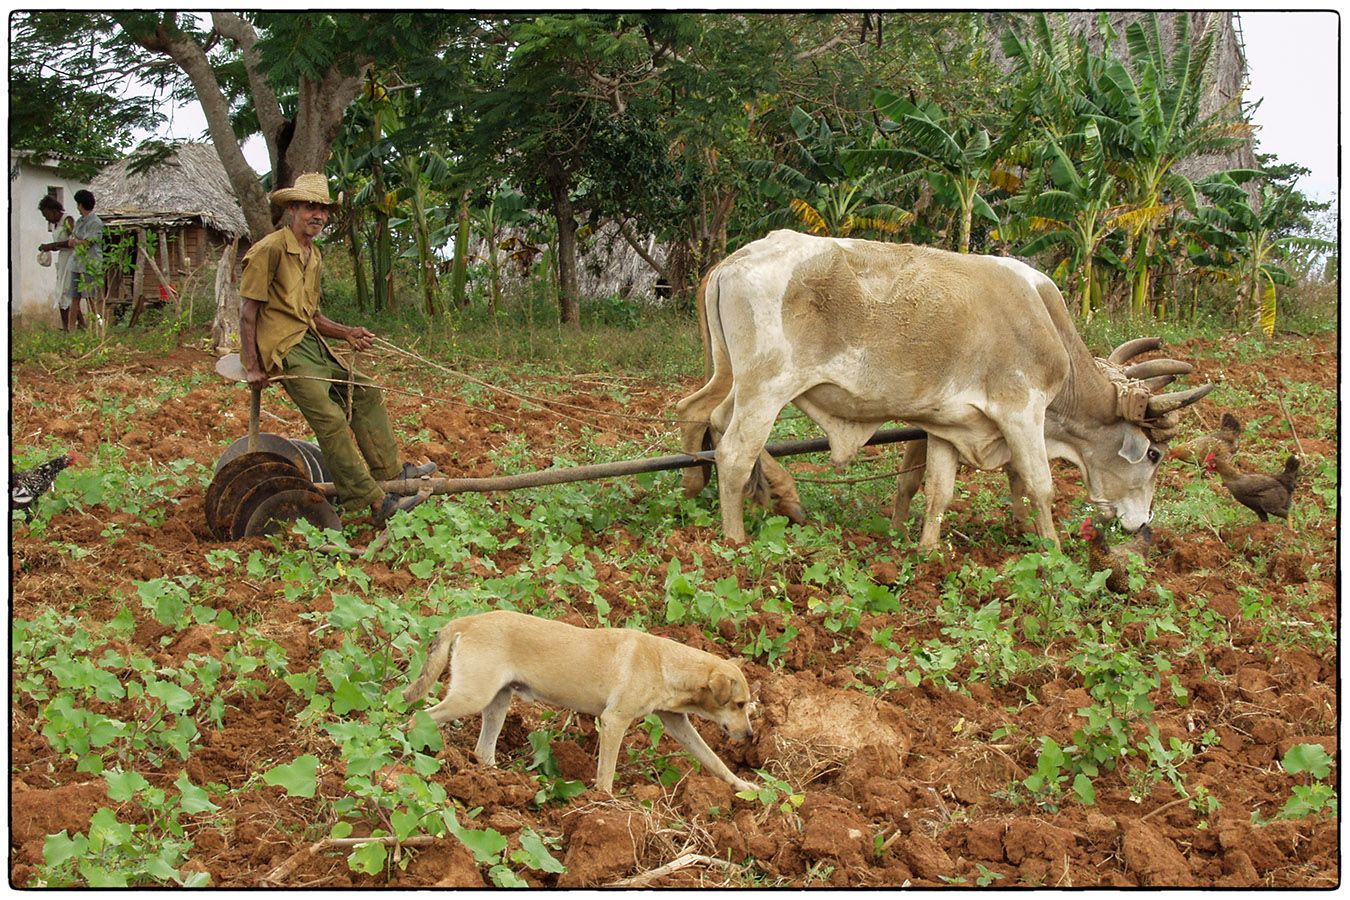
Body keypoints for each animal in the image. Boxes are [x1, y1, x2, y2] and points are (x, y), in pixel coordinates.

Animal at [399, 612, 761, 793]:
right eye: (740, 704)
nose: (750, 736)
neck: (666, 663)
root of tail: (467, 621)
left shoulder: (677, 722)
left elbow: (714, 760)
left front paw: (742, 785)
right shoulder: (614, 721)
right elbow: (606, 774)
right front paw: (608, 804)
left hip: (497, 701)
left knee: (483, 750)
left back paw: (499, 782)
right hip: (470, 696)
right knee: (418, 719)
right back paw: (409, 756)